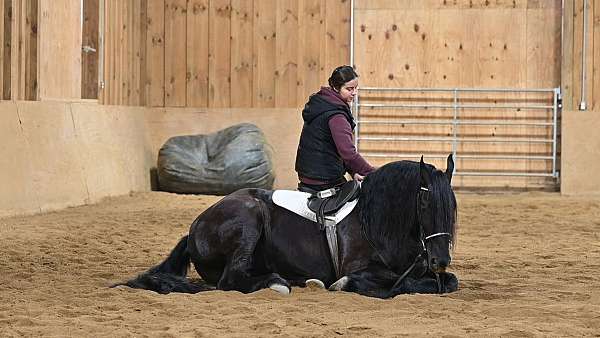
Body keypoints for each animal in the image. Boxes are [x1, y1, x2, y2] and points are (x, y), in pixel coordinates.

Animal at [120, 154, 460, 298]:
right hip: (248, 219)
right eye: (425, 204)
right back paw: (277, 283)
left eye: (452, 208)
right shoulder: (361, 267)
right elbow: (388, 282)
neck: (377, 223)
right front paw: (346, 284)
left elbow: (448, 282)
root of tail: (194, 231)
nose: (440, 259)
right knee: (231, 280)